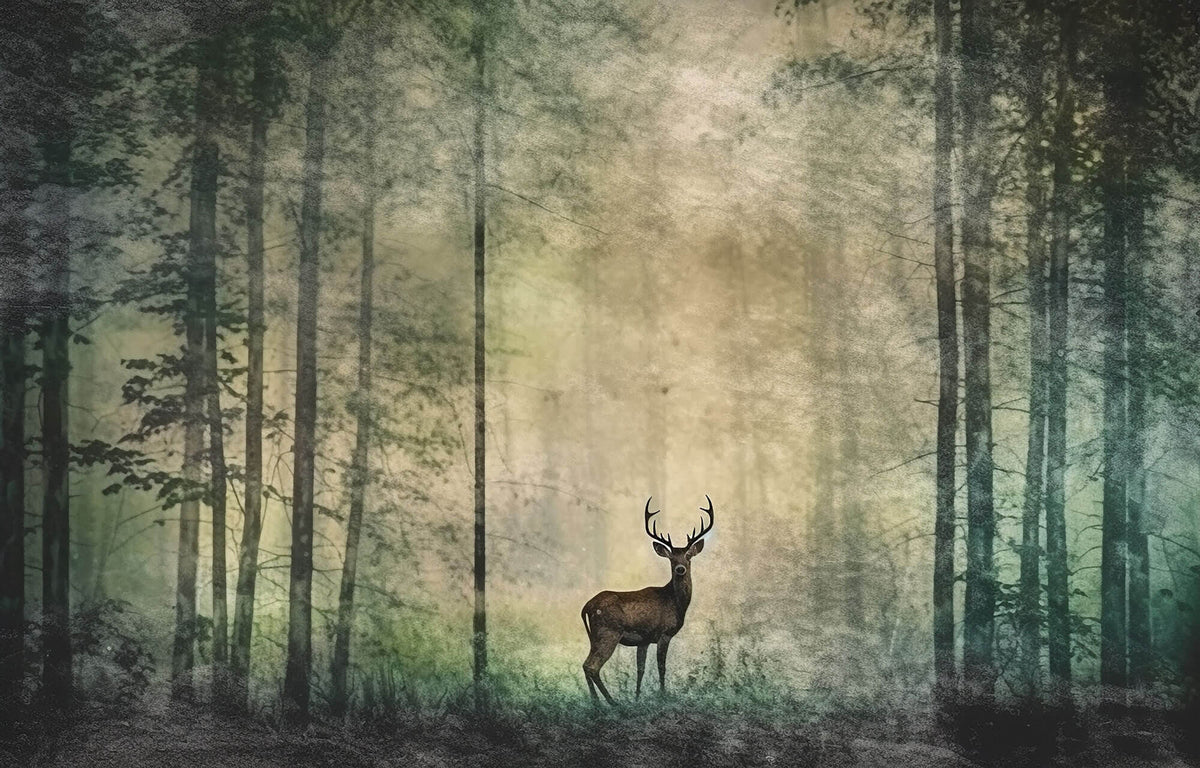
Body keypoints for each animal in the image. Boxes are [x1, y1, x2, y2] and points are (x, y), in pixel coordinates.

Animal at [580, 495, 714, 705]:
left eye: (688, 556)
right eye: (671, 558)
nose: (680, 569)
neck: (675, 603)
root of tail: (587, 607)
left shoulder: (643, 639)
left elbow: (640, 670)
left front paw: (637, 698)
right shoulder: (664, 633)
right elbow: (662, 667)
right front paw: (663, 695)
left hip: (595, 636)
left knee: (586, 665)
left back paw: (597, 703)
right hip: (608, 631)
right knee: (591, 666)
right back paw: (610, 703)